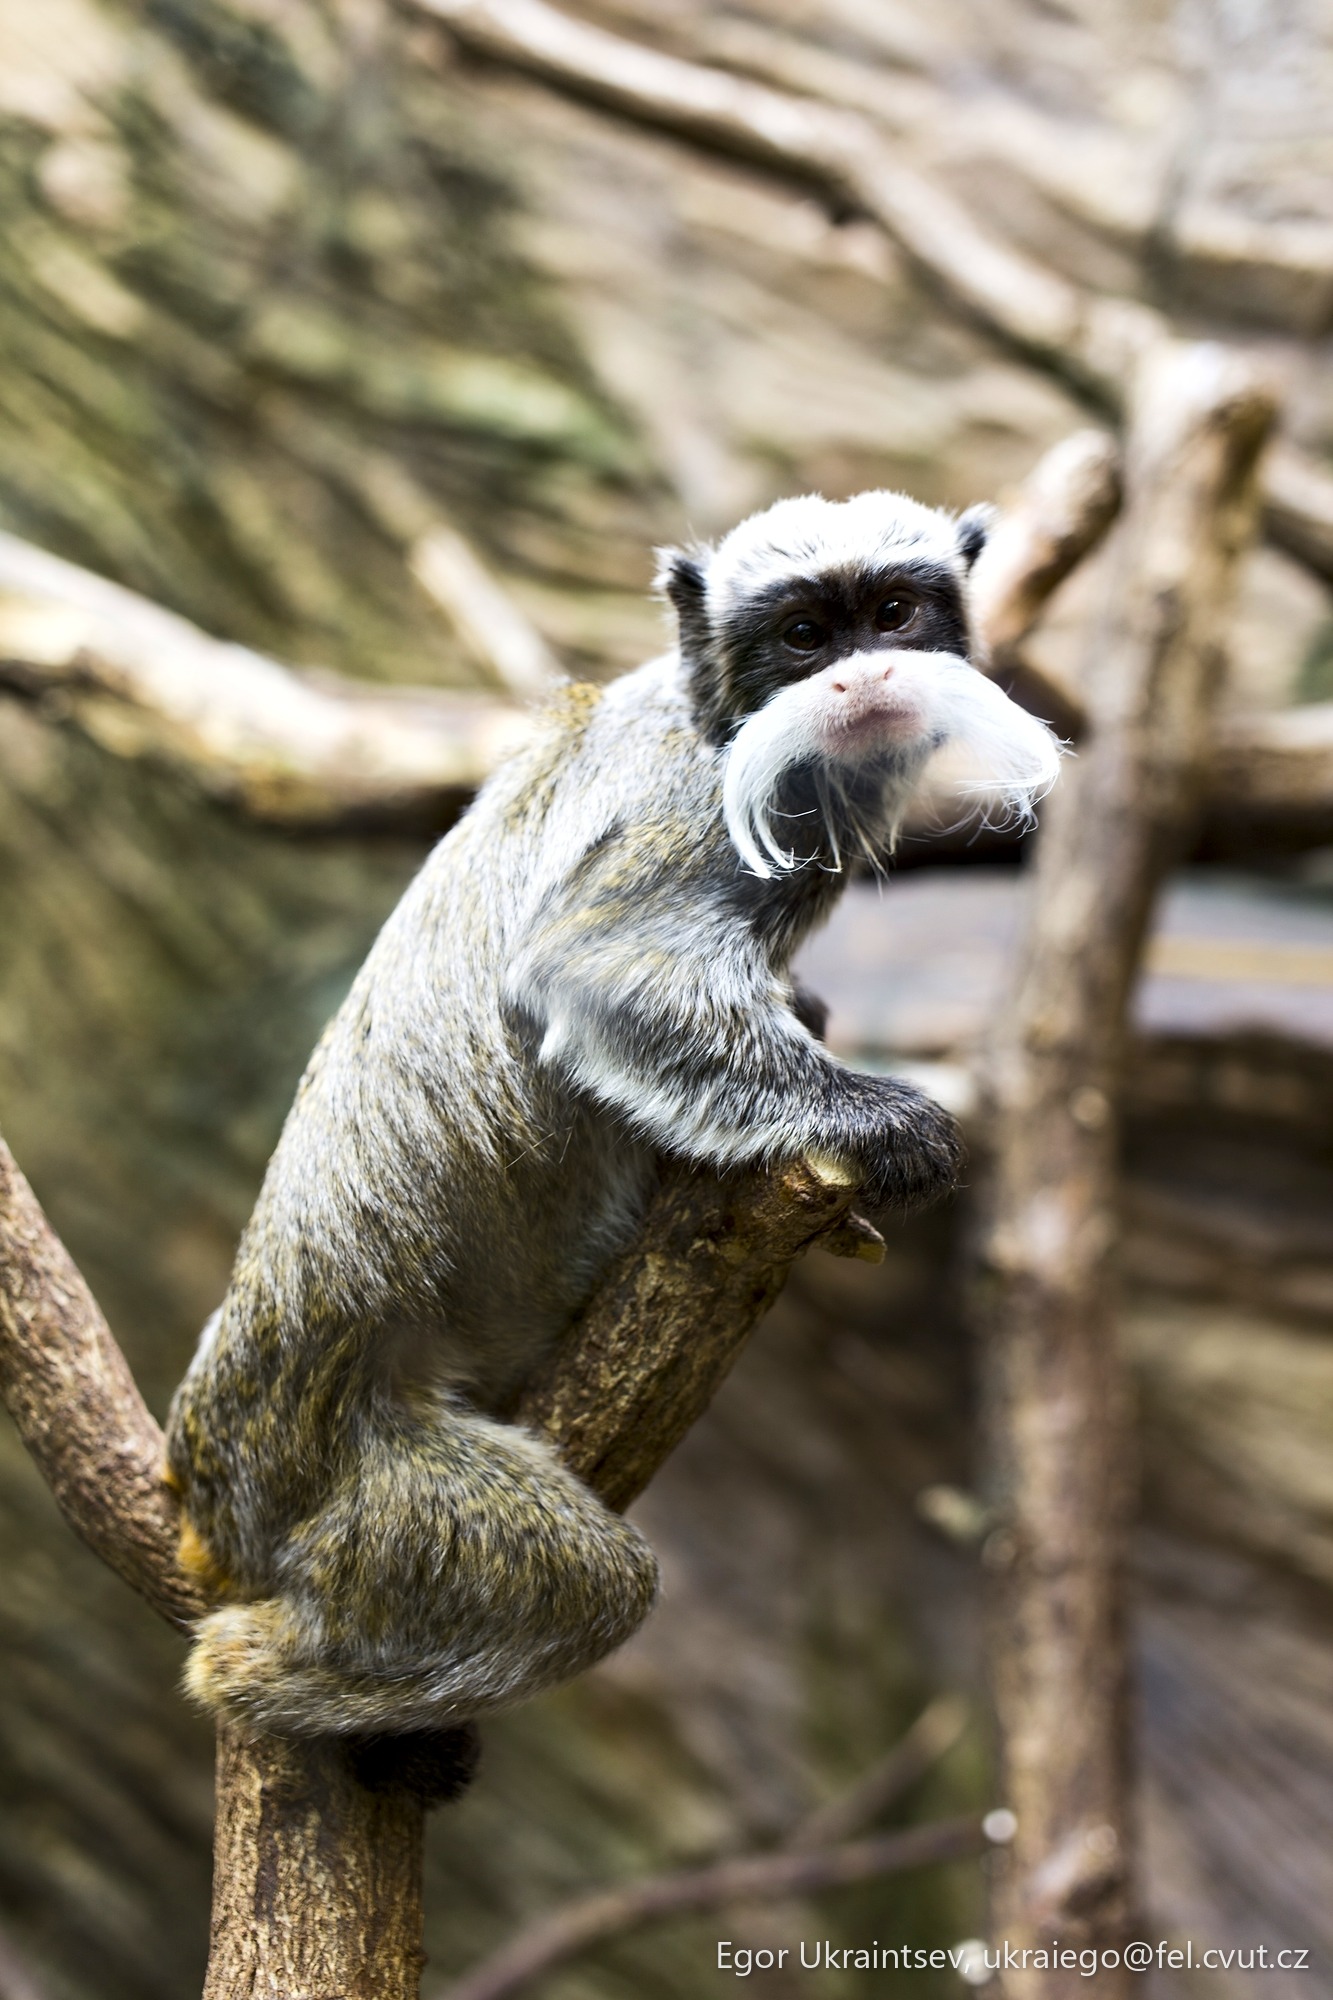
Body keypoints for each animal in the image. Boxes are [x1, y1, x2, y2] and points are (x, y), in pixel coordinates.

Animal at [166, 487, 1062, 1741]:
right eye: (804, 636)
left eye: (892, 613)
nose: (861, 677)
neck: (719, 718)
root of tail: (222, 1443)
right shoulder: (695, 810)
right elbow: (594, 968)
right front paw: (876, 1122)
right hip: (355, 1491)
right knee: (594, 1585)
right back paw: (268, 1673)